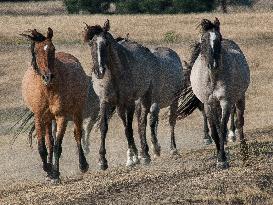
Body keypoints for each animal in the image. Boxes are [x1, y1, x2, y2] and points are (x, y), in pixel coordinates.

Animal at [20, 27, 88, 183]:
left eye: (52, 49)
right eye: (36, 51)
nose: (48, 77)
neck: (48, 89)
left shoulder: (61, 116)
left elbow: (58, 145)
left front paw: (55, 173)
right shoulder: (39, 117)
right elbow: (43, 146)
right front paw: (48, 170)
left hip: (76, 112)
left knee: (77, 134)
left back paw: (83, 165)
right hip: (48, 119)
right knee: (49, 141)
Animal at [190, 18, 250, 168]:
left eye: (219, 39)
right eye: (203, 40)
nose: (213, 64)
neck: (213, 78)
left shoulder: (226, 102)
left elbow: (222, 128)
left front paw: (223, 160)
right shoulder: (208, 103)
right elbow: (214, 130)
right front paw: (219, 157)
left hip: (240, 98)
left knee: (240, 122)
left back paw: (244, 152)